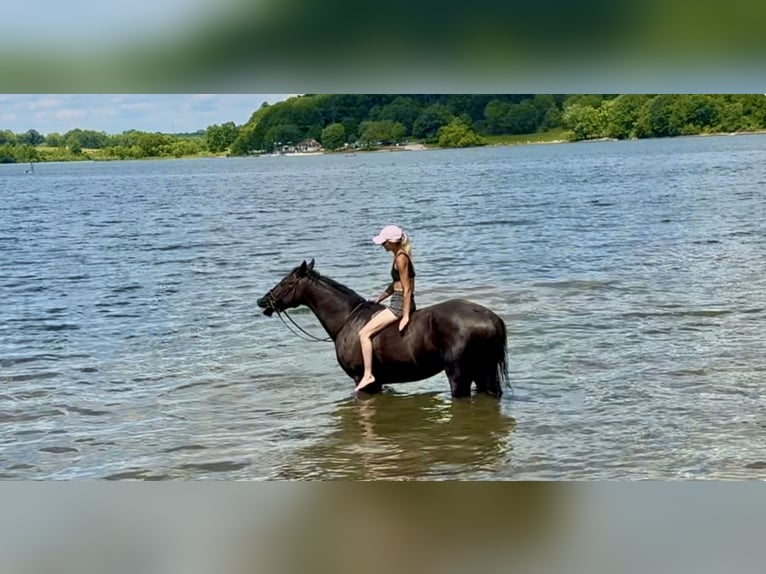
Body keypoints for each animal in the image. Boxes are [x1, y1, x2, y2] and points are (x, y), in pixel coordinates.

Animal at [256, 259, 509, 398]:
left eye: (286, 283)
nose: (262, 301)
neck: (347, 320)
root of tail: (490, 317)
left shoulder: (362, 379)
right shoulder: (377, 382)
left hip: (459, 375)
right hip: (483, 371)